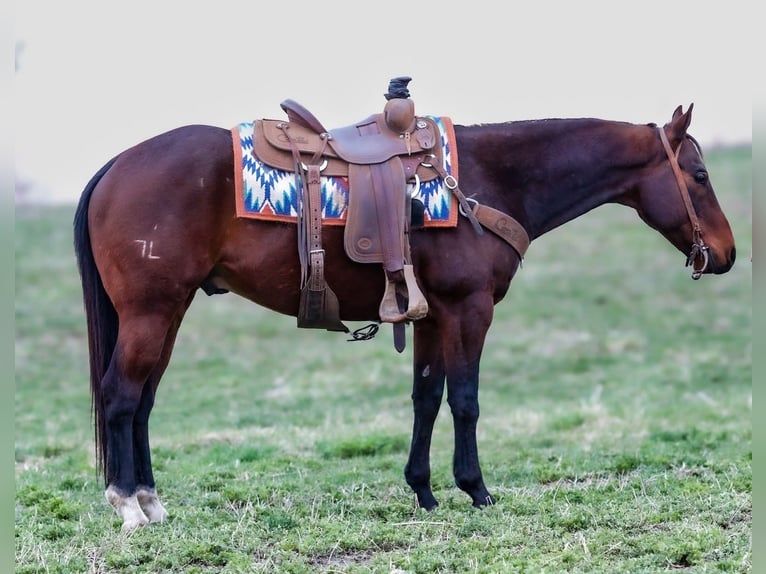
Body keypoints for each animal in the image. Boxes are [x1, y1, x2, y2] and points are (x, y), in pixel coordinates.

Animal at [73, 102, 736, 530]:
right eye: (700, 175)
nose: (727, 255)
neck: (486, 183)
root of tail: (114, 166)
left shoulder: (431, 316)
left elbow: (426, 398)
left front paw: (423, 491)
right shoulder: (469, 310)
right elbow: (464, 400)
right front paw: (476, 490)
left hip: (168, 313)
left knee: (143, 401)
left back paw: (152, 501)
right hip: (151, 312)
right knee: (121, 396)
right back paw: (127, 505)